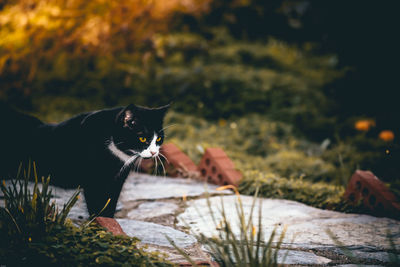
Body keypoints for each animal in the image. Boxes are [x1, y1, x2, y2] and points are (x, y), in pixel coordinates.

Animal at [0, 102, 169, 218]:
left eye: (159, 139)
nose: (154, 152)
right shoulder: (94, 181)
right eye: (142, 138)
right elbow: (97, 205)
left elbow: (110, 203)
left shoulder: (116, 180)